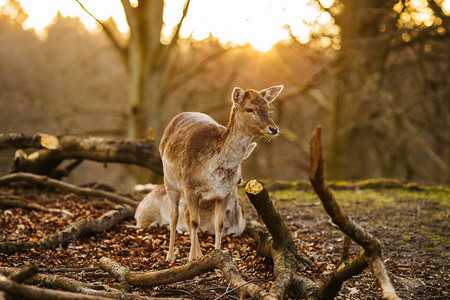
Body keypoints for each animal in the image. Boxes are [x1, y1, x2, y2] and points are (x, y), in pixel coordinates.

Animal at [160, 85, 284, 262]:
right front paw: (191, 259)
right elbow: (195, 222)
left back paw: (200, 255)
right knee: (174, 214)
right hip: (170, 181)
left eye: (268, 108)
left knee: (185, 211)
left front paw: (217, 254)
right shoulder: (191, 187)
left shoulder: (224, 193)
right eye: (249, 109)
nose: (274, 129)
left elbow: (218, 224)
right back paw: (170, 257)